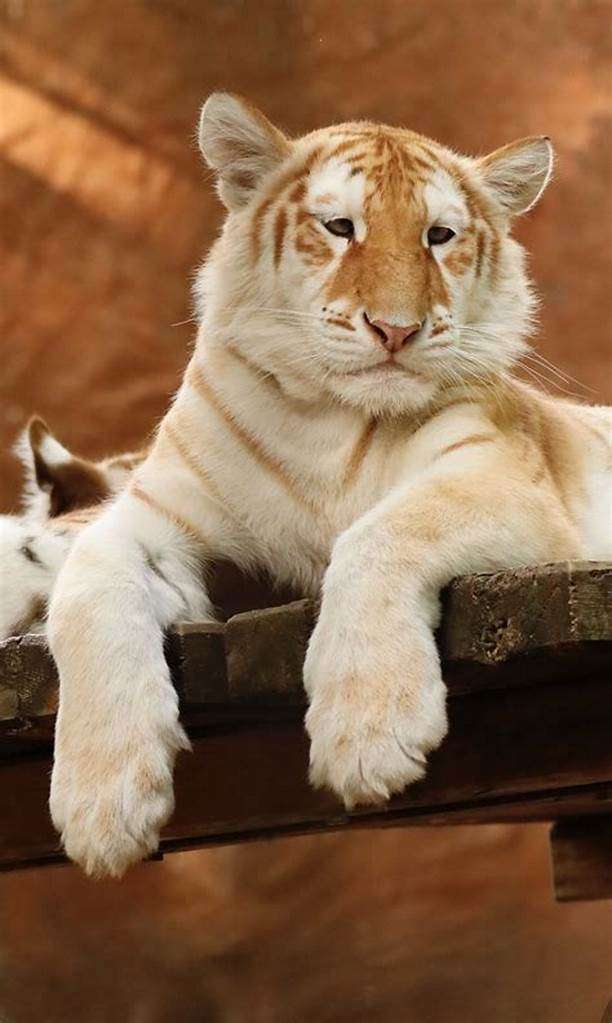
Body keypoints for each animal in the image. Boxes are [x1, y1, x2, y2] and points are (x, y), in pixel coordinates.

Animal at [46, 92, 612, 878]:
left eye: (439, 236)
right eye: (340, 227)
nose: (396, 330)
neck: (324, 417)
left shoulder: (503, 477)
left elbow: (380, 533)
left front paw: (369, 733)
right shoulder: (154, 515)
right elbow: (85, 587)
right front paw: (101, 804)